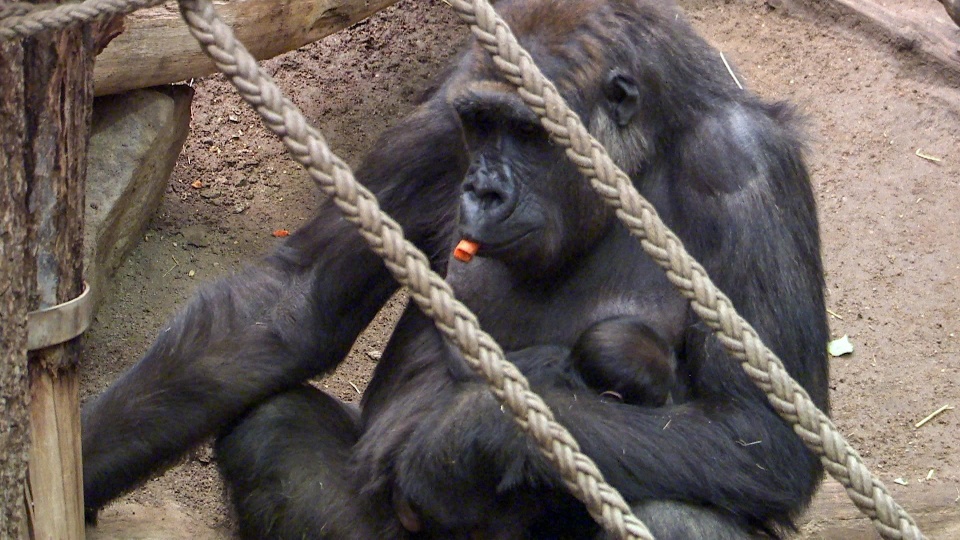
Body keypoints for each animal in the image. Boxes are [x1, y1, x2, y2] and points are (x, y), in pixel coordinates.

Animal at [82, 2, 828, 536]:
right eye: (480, 125)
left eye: (527, 131)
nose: (485, 190)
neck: (635, 164)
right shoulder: (439, 121)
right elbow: (291, 305)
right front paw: (79, 464)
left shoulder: (747, 168)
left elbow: (758, 432)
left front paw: (462, 437)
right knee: (270, 428)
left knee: (679, 515)